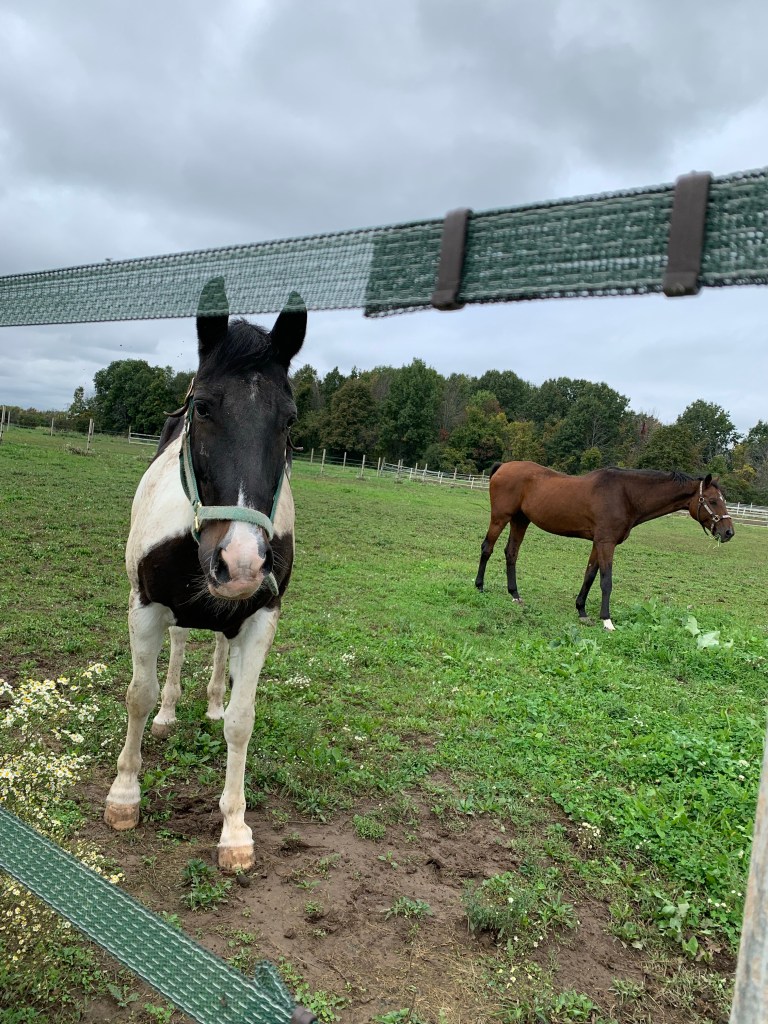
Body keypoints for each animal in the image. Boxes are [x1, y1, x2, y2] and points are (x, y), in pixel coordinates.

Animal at [104, 277, 306, 873]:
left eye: (290, 420)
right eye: (204, 406)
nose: (241, 561)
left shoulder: (261, 615)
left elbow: (243, 718)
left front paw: (235, 830)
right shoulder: (145, 606)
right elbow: (138, 695)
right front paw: (124, 795)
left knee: (217, 648)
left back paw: (211, 701)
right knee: (177, 648)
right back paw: (170, 713)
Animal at [474, 461, 734, 630]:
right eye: (712, 501)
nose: (729, 532)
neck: (625, 495)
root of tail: (503, 466)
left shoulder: (598, 543)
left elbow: (589, 575)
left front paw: (581, 611)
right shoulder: (607, 543)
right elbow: (606, 581)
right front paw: (606, 620)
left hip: (520, 520)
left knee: (511, 553)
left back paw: (515, 595)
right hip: (500, 517)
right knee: (487, 548)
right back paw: (479, 587)